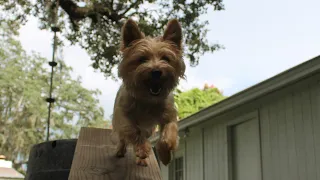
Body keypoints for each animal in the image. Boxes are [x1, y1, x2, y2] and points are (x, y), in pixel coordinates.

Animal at [112, 17, 186, 167]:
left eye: (166, 58)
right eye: (142, 59)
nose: (156, 71)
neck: (148, 100)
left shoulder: (169, 116)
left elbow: (169, 134)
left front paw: (165, 154)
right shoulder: (123, 114)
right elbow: (132, 130)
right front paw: (142, 149)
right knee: (122, 137)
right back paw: (120, 150)